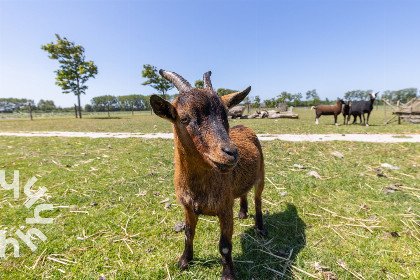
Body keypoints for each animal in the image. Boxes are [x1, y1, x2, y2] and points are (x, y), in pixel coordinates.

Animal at [149, 70, 264, 280]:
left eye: (226, 115)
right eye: (184, 118)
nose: (230, 153)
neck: (199, 187)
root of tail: (245, 126)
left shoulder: (225, 208)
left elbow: (225, 245)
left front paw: (228, 274)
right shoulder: (187, 207)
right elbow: (188, 234)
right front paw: (184, 261)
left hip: (261, 175)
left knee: (258, 199)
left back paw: (260, 228)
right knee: (244, 192)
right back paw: (243, 213)